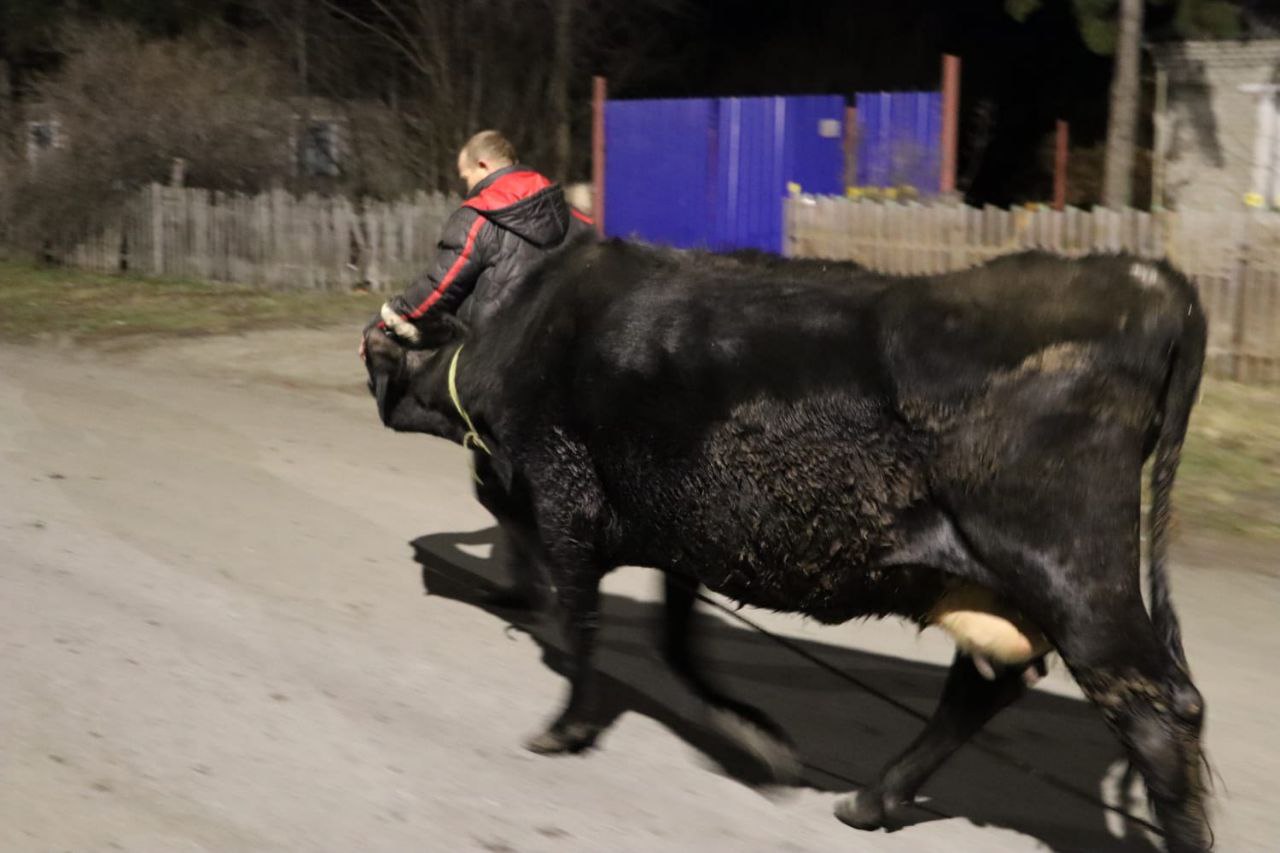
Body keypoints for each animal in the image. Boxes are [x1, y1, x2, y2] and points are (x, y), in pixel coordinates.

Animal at [363, 240, 1208, 850]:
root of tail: (1146, 277)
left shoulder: (566, 501)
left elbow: (581, 624)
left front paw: (563, 728)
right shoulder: (676, 534)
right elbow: (678, 644)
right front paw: (756, 737)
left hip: (1074, 578)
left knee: (1157, 708)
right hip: (1003, 583)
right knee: (986, 684)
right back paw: (870, 799)